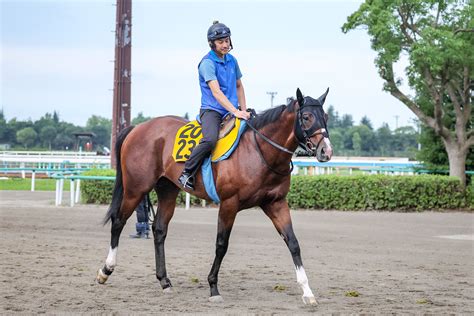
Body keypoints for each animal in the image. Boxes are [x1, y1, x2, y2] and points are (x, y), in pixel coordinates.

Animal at [95, 87, 334, 304]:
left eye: (326, 116)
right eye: (306, 116)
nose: (326, 151)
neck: (259, 151)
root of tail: (137, 128)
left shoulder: (276, 203)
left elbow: (293, 243)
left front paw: (307, 292)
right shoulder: (229, 204)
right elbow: (222, 244)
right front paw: (213, 287)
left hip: (167, 190)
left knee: (159, 230)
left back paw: (164, 281)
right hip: (136, 189)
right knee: (118, 221)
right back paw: (106, 270)